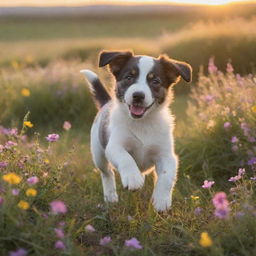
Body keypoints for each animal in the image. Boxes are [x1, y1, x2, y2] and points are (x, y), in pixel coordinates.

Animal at [81, 50, 191, 212]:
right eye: (129, 77)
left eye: (155, 81)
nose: (138, 95)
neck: (142, 123)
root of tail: (107, 103)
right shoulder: (114, 146)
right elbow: (125, 158)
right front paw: (132, 178)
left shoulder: (167, 155)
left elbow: (167, 176)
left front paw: (161, 200)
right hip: (98, 153)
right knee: (107, 173)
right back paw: (111, 197)